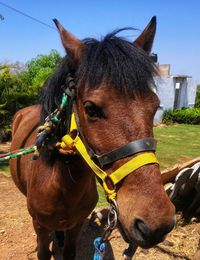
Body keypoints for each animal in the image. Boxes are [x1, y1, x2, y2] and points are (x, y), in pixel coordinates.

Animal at [9, 17, 175, 258]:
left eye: (154, 106)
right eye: (91, 108)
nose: (156, 224)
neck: (62, 185)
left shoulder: (76, 224)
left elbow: (69, 251)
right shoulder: (40, 226)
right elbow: (43, 251)